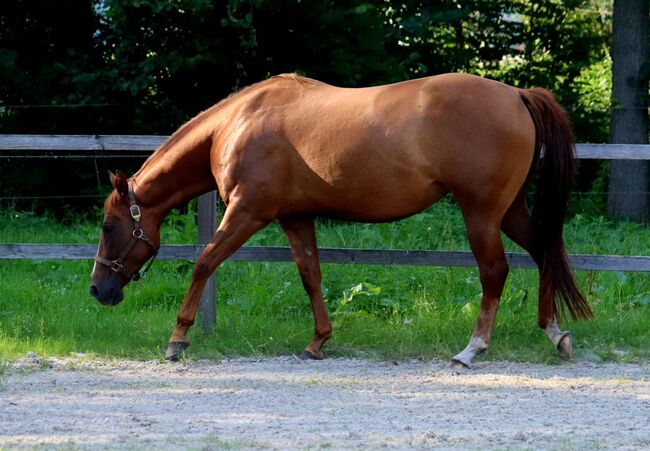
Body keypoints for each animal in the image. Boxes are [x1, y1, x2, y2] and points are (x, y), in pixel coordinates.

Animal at [88, 73, 588, 368]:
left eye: (109, 227)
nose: (98, 290)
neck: (238, 123)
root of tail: (517, 95)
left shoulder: (248, 212)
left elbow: (205, 262)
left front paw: (178, 338)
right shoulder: (295, 218)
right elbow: (311, 275)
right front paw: (318, 341)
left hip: (481, 213)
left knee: (495, 272)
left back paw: (472, 349)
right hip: (509, 210)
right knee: (543, 251)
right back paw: (554, 332)